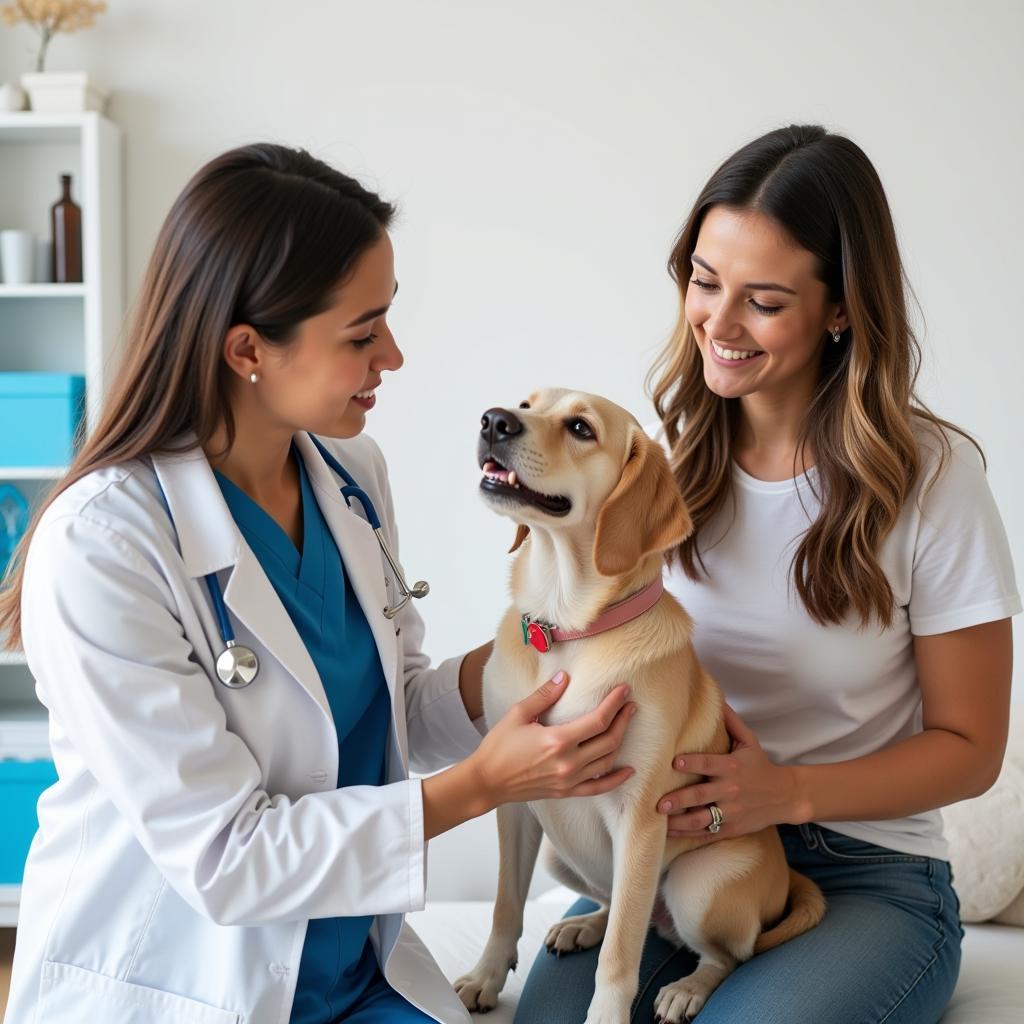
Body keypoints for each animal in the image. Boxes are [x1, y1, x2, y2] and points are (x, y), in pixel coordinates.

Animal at [456, 389, 823, 1024]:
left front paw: (606, 1016)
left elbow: (620, 956)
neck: (566, 628)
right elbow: (506, 904)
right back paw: (583, 925)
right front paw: (486, 976)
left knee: (723, 952)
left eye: (581, 428)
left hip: (697, 882)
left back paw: (687, 989)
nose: (494, 420)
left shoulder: (641, 817)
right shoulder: (515, 799)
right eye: (526, 402)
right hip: (559, 855)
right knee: (628, 916)